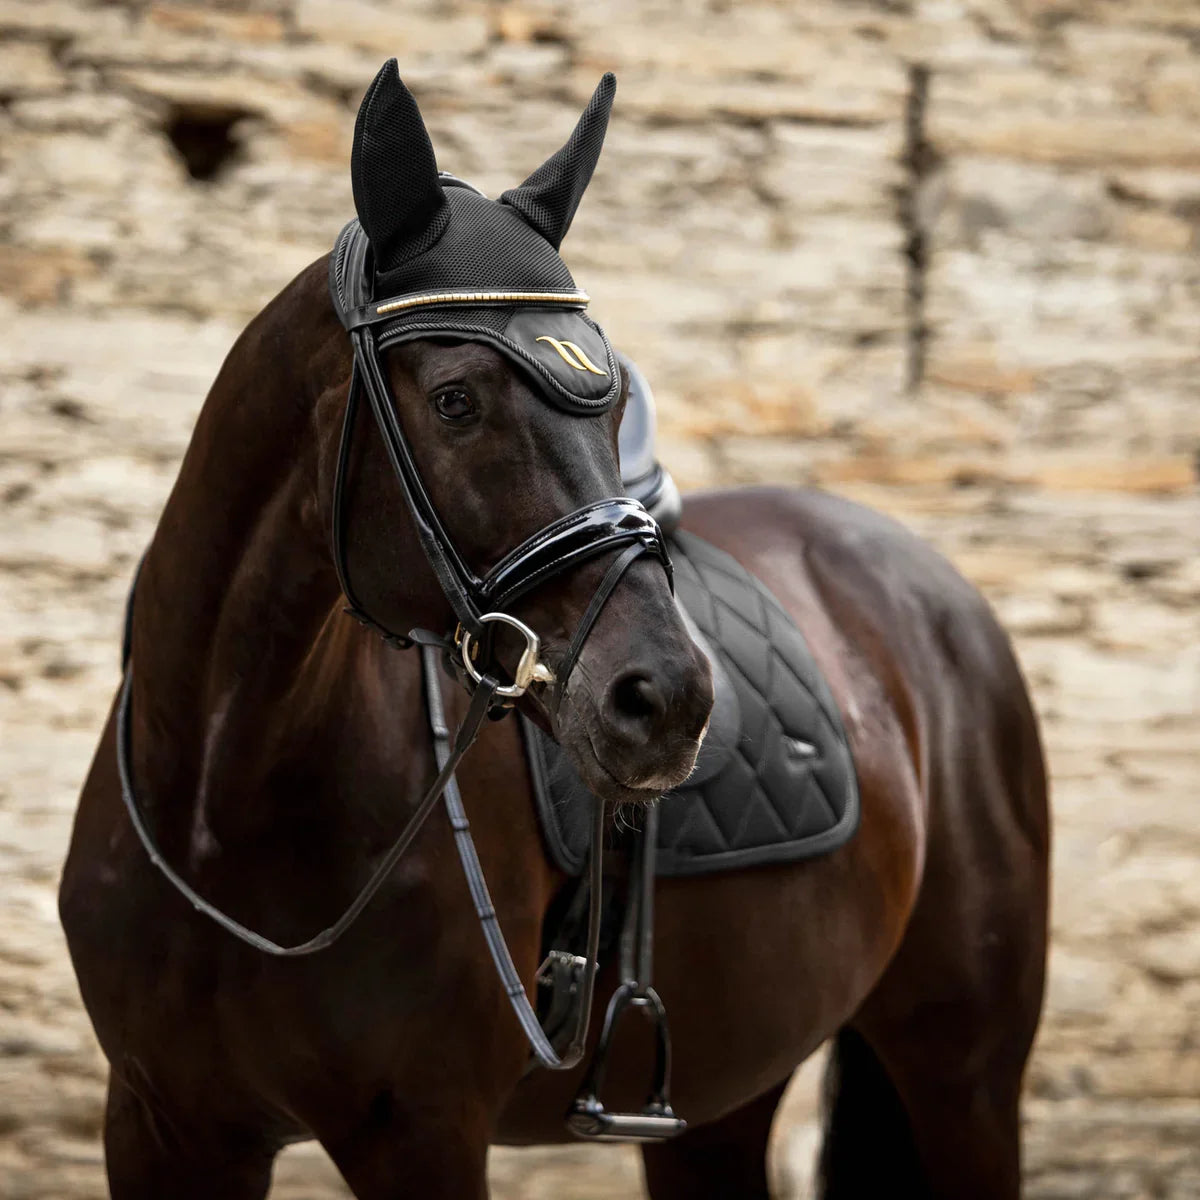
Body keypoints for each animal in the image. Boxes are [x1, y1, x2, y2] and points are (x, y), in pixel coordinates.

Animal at [60, 61, 1050, 1199]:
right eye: (455, 399)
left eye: (610, 400)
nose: (669, 701)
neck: (226, 800)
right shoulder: (163, 1125)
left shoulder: (424, 1130)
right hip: (722, 1099)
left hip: (964, 1075)